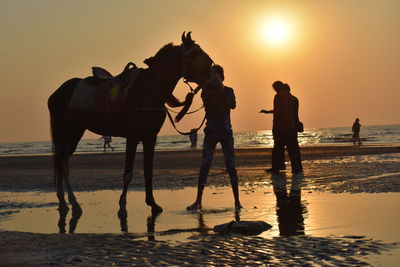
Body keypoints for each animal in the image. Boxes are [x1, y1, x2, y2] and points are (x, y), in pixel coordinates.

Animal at [48, 33, 214, 218]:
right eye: (194, 54)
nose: (212, 70)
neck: (147, 90)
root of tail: (56, 94)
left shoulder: (150, 137)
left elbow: (148, 171)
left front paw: (153, 204)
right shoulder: (133, 137)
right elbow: (128, 173)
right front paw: (122, 207)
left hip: (73, 134)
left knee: (61, 163)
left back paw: (65, 203)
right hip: (67, 133)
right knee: (61, 163)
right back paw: (72, 203)